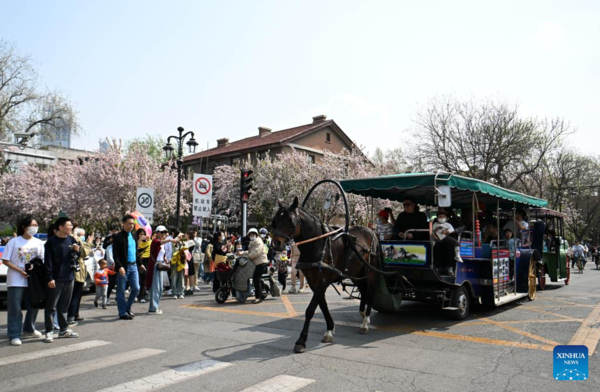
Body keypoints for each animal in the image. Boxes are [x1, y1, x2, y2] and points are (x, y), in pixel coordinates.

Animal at [270, 198, 382, 354]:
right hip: (355, 272)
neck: (317, 244)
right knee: (363, 289)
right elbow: (322, 306)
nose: (276, 243)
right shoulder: (313, 281)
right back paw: (363, 313)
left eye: (289, 219)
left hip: (370, 270)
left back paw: (365, 322)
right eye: (276, 220)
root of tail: (371, 231)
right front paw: (329, 330)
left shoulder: (323, 280)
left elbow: (311, 309)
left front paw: (301, 341)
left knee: (370, 292)